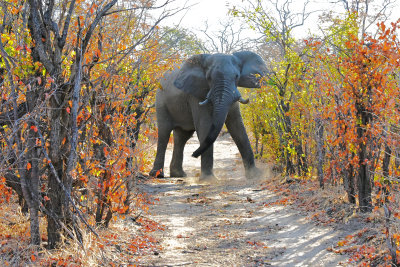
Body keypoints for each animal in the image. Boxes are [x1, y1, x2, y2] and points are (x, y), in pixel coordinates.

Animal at [148, 50, 268, 180]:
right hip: (161, 102)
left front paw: (255, 175)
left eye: (237, 76)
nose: (193, 155)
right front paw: (209, 179)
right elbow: (205, 125)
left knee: (182, 137)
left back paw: (178, 174)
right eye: (209, 78)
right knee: (164, 134)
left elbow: (238, 127)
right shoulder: (195, 94)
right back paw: (157, 175)